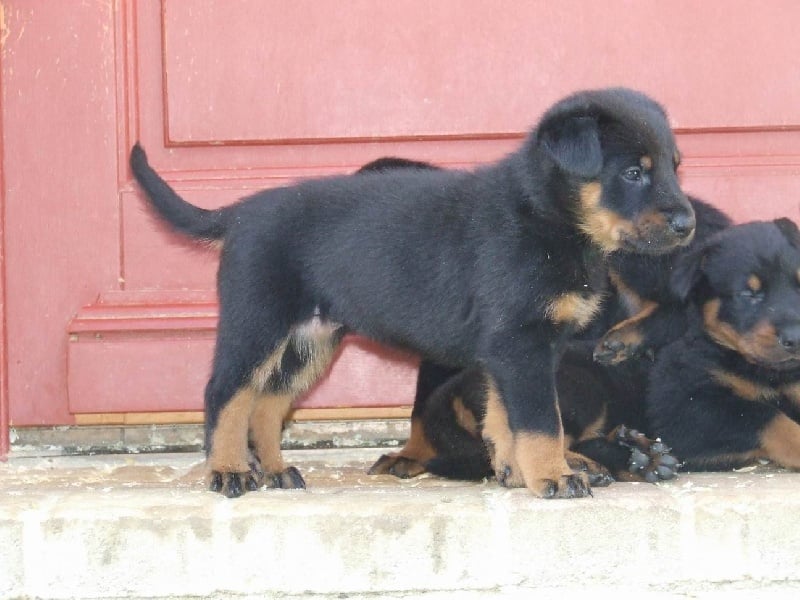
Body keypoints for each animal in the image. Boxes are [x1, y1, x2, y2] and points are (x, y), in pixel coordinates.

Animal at [131, 88, 692, 496]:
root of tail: (238, 214)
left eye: (673, 166)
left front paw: (514, 472)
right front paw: (553, 476)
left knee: (269, 402)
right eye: (634, 172)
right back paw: (228, 470)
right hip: (258, 321)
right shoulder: (521, 344)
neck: (546, 216)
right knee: (227, 392)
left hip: (312, 340)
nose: (687, 224)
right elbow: (539, 421)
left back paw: (274, 471)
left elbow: (503, 417)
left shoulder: (513, 351)